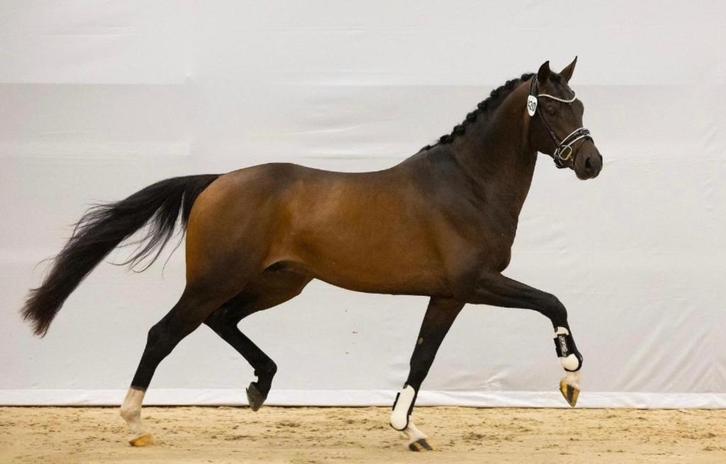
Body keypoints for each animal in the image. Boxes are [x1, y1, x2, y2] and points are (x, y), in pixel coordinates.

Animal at [21, 58, 602, 451]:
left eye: (578, 104)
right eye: (552, 109)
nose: (591, 162)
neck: (468, 184)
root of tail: (216, 182)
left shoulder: (446, 294)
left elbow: (422, 357)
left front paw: (408, 429)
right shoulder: (474, 283)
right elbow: (552, 302)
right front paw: (570, 378)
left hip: (279, 282)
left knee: (222, 320)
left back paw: (260, 384)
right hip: (217, 279)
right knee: (164, 333)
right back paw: (136, 422)